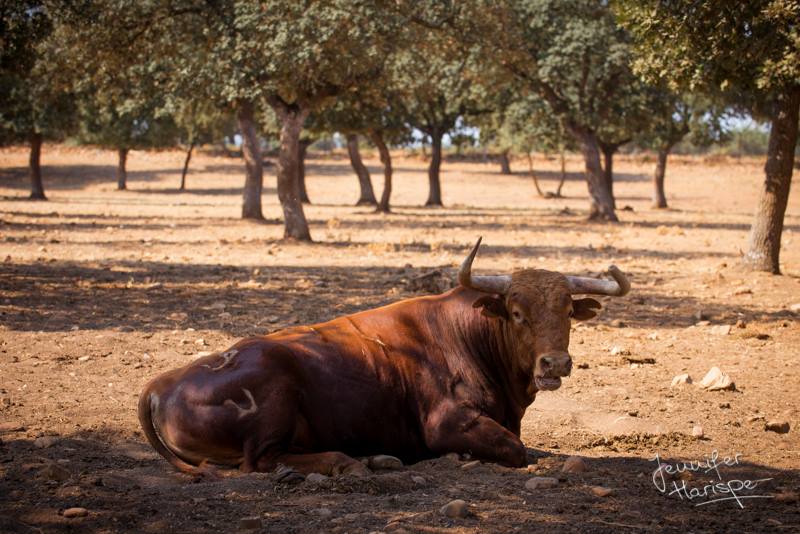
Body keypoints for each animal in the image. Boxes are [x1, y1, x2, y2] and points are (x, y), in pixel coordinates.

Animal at [138, 238, 630, 477]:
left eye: (568, 311)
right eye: (516, 312)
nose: (555, 364)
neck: (470, 334)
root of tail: (162, 384)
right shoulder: (447, 422)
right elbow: (516, 449)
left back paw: (376, 459)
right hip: (274, 396)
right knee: (261, 460)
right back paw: (350, 463)